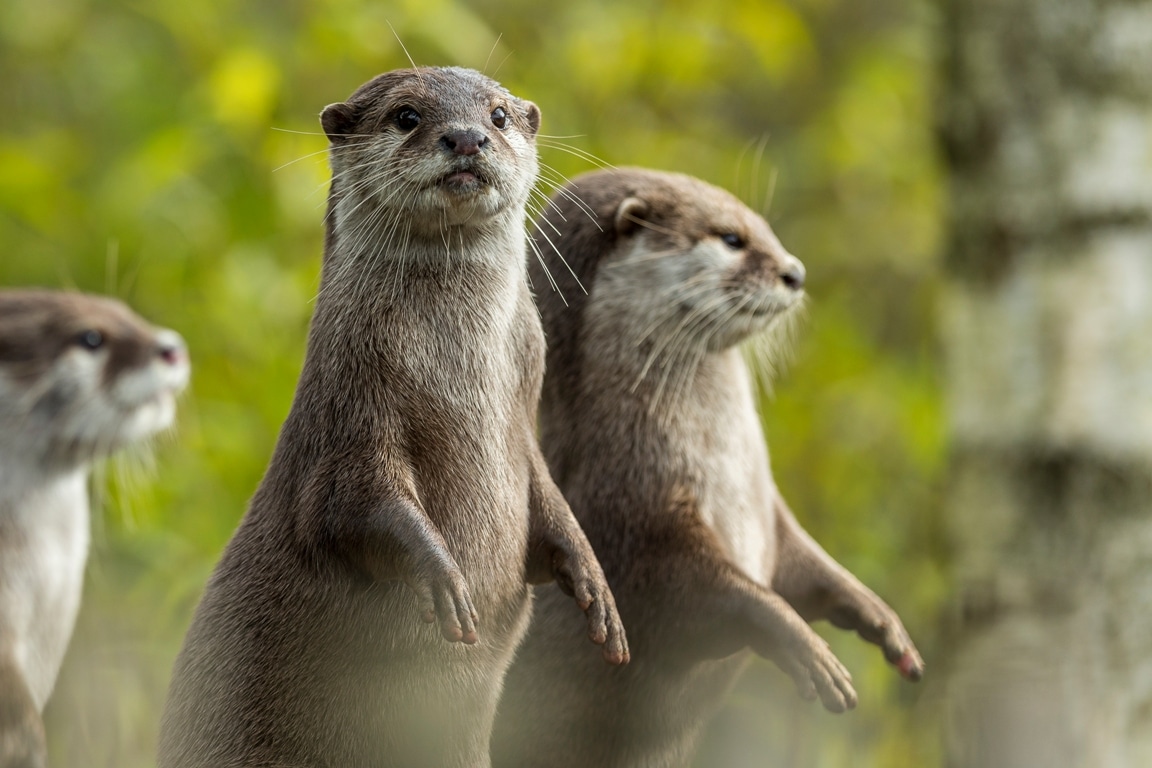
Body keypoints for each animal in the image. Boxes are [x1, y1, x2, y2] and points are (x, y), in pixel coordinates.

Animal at [157, 66, 626, 768]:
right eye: (407, 115)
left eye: (498, 115)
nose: (466, 137)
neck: (459, 374)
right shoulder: (351, 415)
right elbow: (350, 507)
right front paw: (444, 575)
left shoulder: (523, 430)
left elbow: (548, 499)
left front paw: (595, 584)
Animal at [490, 169, 921, 768]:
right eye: (731, 239)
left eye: (763, 227)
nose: (795, 272)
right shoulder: (635, 522)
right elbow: (707, 599)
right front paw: (805, 646)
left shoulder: (770, 523)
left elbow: (807, 569)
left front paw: (878, 618)